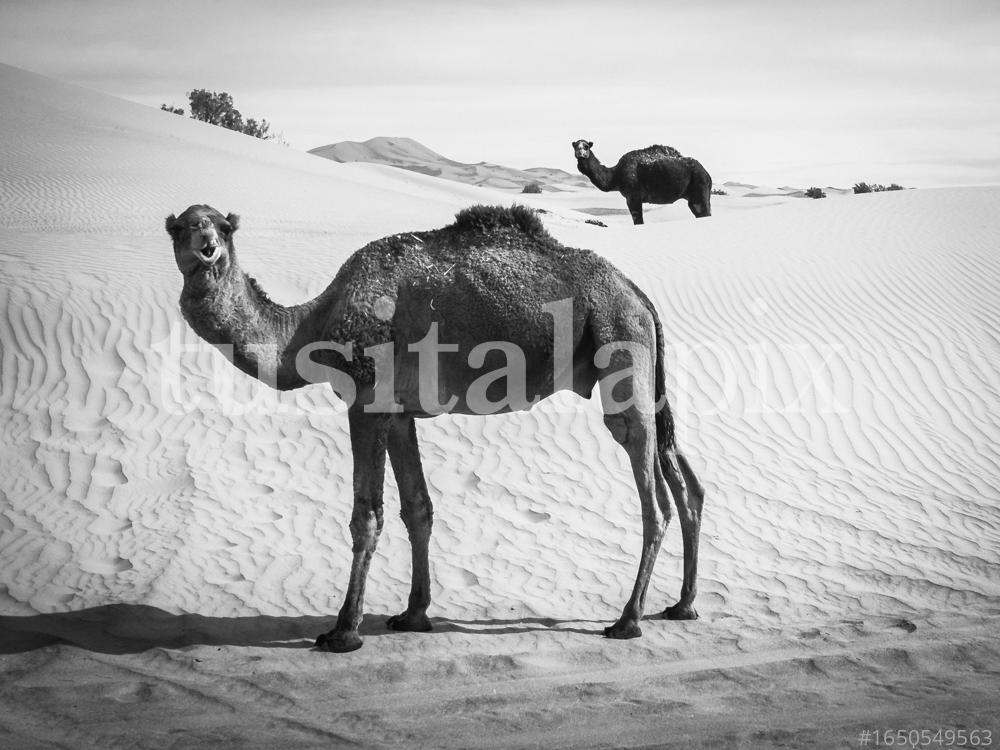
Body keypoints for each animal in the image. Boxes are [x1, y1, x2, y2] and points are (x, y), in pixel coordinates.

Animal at [168, 204, 704, 652]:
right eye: (186, 226)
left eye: (222, 226)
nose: (208, 247)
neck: (310, 328)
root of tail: (639, 293)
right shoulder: (399, 413)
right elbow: (417, 509)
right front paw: (413, 614)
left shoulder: (366, 401)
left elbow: (366, 517)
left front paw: (344, 631)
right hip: (644, 371)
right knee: (686, 483)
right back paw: (682, 606)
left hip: (621, 350)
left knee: (653, 496)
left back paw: (627, 620)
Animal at [572, 140, 712, 223]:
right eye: (575, 146)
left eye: (586, 146)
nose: (580, 152)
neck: (615, 176)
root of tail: (707, 174)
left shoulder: (633, 196)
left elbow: (638, 220)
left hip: (700, 186)